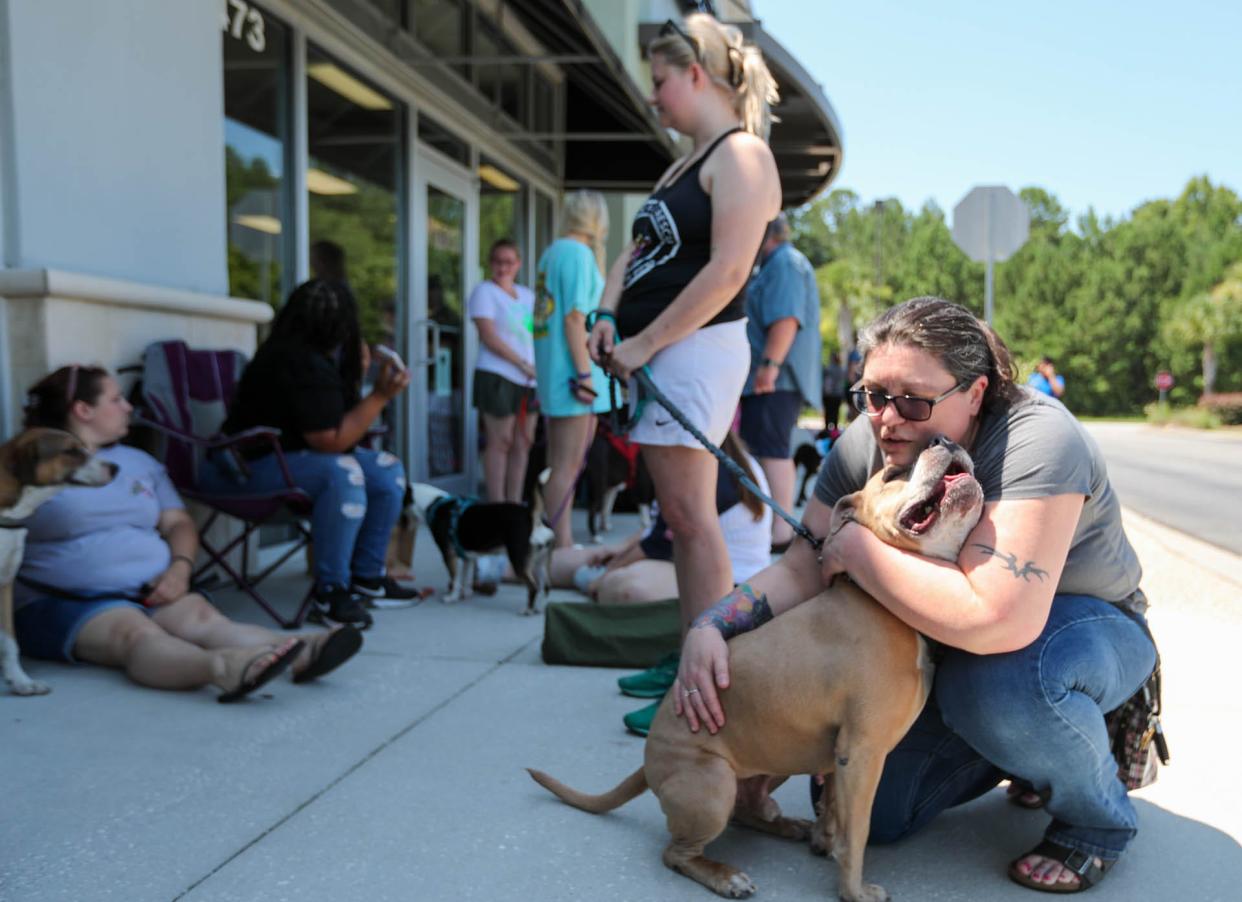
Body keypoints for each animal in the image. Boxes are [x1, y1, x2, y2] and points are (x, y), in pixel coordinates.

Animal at [0, 429, 117, 700]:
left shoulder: (6, 583)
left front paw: (21, 681)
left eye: (83, 446)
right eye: (71, 451)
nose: (116, 467)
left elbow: (10, 642)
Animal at [407, 474, 553, 613]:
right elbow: (466, 578)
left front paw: (452, 597)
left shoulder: (449, 555)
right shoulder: (468, 557)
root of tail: (532, 517)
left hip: (519, 562)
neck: (434, 503)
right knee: (545, 586)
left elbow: (455, 579)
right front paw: (466, 593)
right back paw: (540, 608)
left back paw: (527, 610)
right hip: (540, 562)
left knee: (533, 587)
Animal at [529, 437, 983, 899]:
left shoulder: (839, 756)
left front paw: (824, 841)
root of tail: (648, 757)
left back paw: (786, 826)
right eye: (892, 473)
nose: (944, 440)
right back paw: (725, 875)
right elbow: (857, 832)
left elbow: (834, 813)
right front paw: (854, 891)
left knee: (744, 812)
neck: (881, 595)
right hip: (714, 785)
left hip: (781, 753)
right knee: (677, 852)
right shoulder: (863, 753)